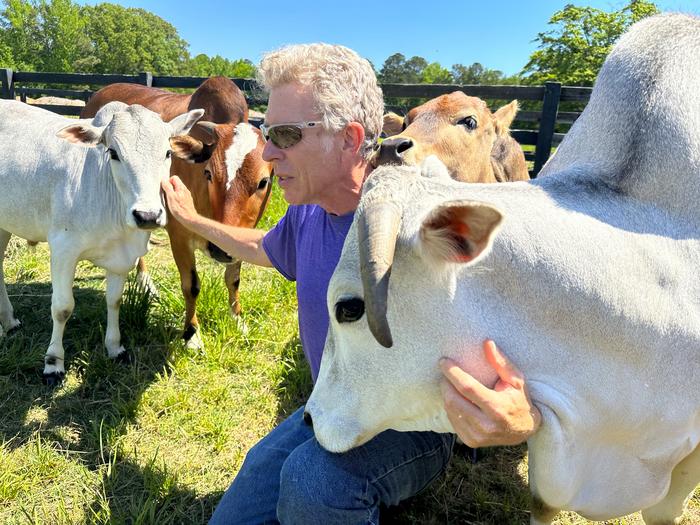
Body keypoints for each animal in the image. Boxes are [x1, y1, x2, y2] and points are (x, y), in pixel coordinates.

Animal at [0, 99, 205, 384]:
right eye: (114, 153)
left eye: (167, 153)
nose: (147, 215)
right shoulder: (63, 250)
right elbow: (62, 308)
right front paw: (53, 363)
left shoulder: (122, 258)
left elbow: (114, 300)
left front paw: (115, 347)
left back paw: (8, 321)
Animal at [82, 77, 274, 348]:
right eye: (208, 173)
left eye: (263, 182)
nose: (220, 250)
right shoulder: (179, 235)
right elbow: (191, 285)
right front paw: (192, 334)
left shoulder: (242, 235)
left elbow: (233, 278)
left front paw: (238, 320)